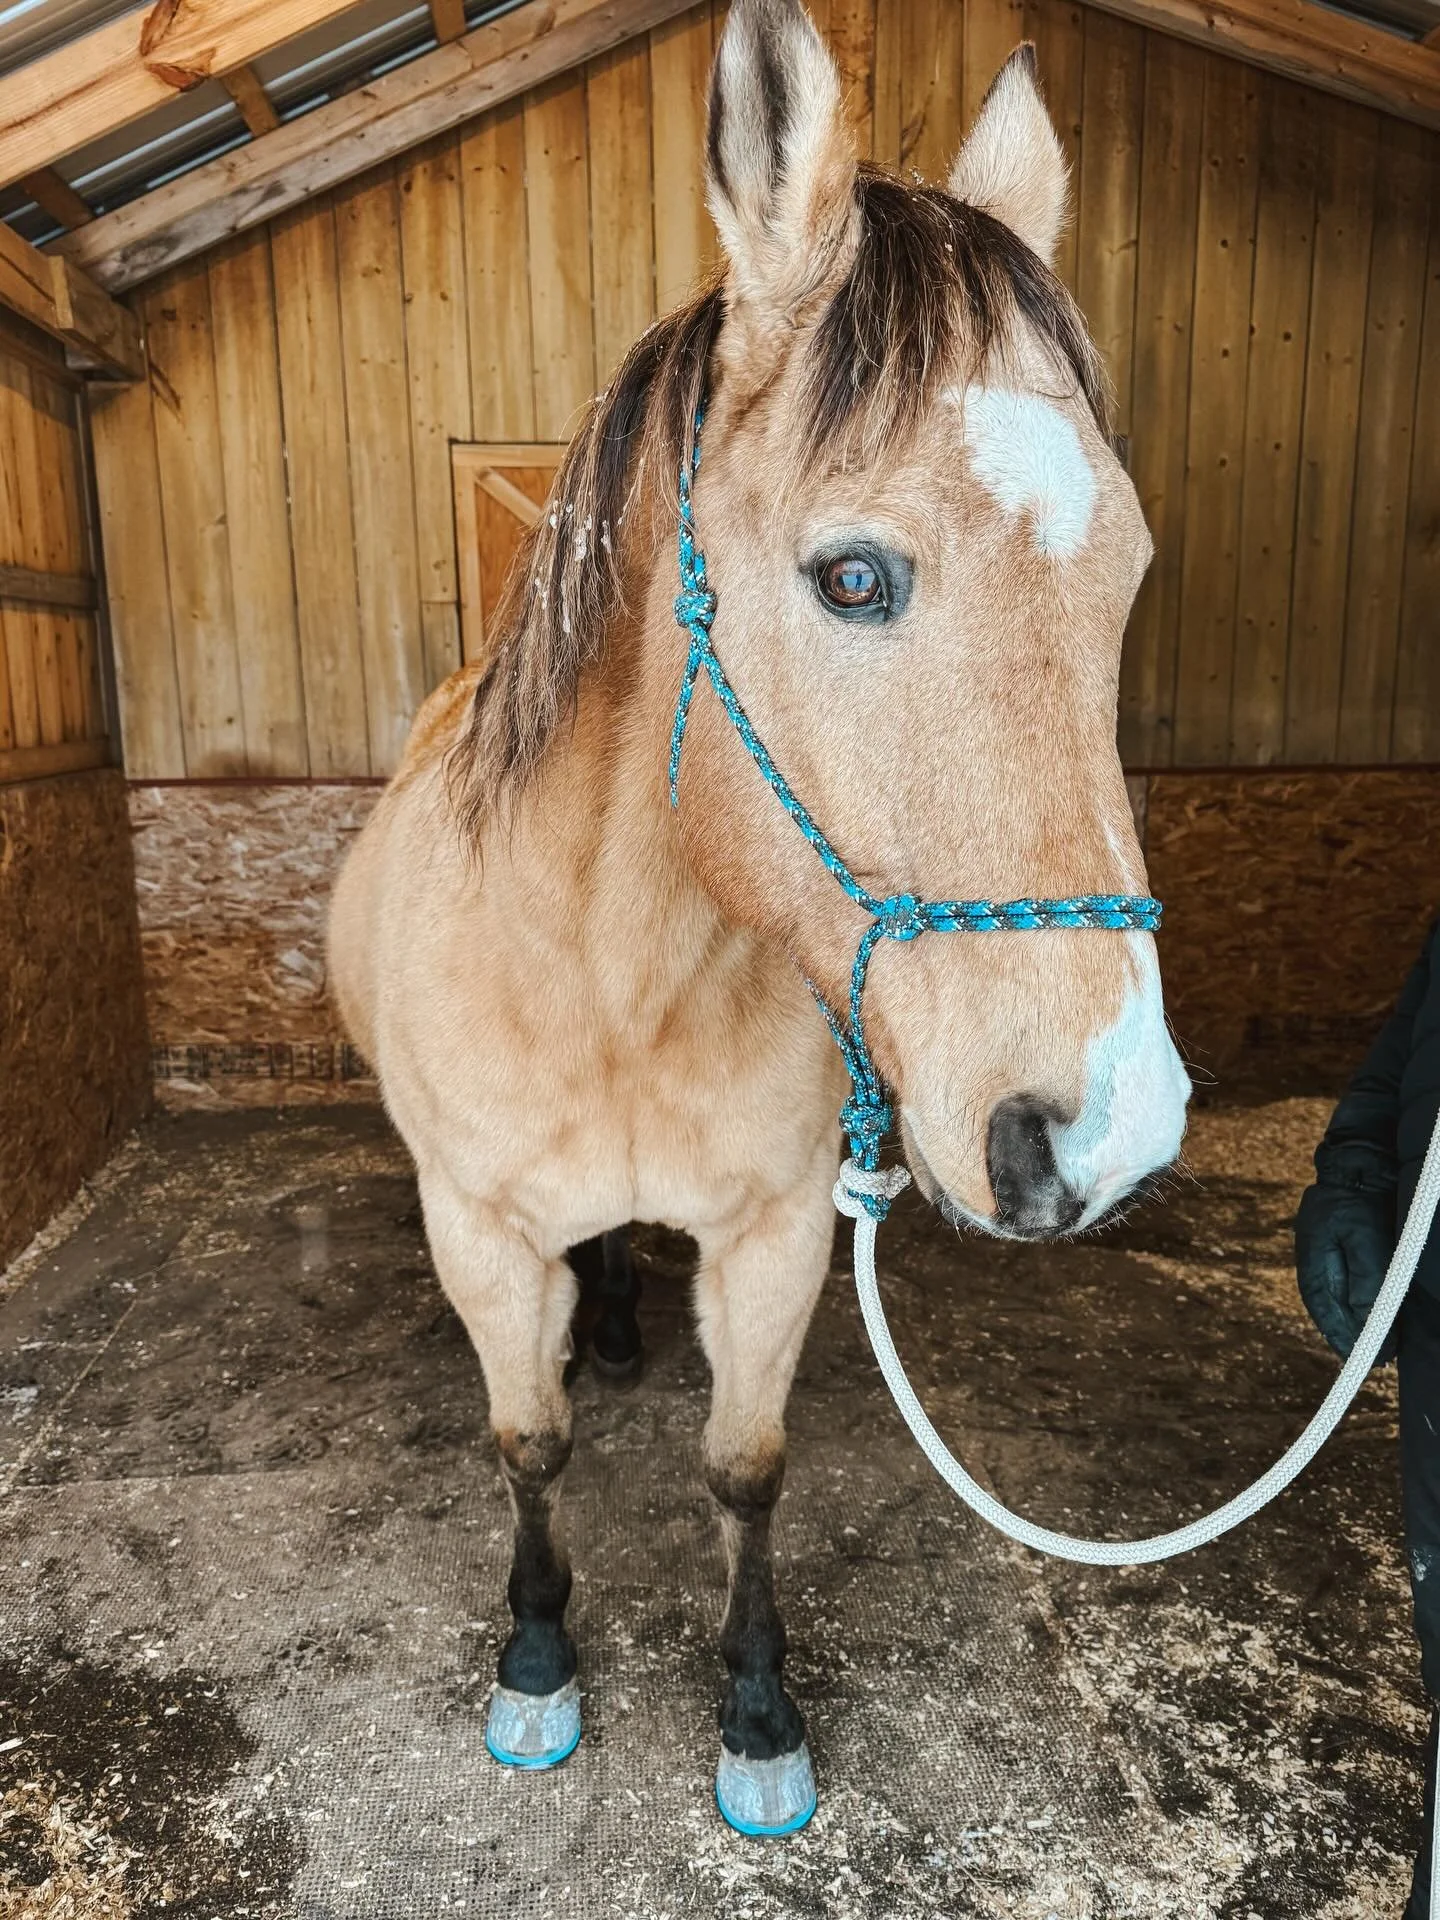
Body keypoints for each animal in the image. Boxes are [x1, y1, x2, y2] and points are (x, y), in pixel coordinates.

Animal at [328, 0, 1191, 1835]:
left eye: (1131, 573)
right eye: (852, 576)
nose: (1112, 1129)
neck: (617, 976)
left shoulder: (784, 1234)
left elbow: (747, 1469)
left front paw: (757, 1704)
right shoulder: (476, 1234)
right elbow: (528, 1450)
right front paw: (537, 1664)